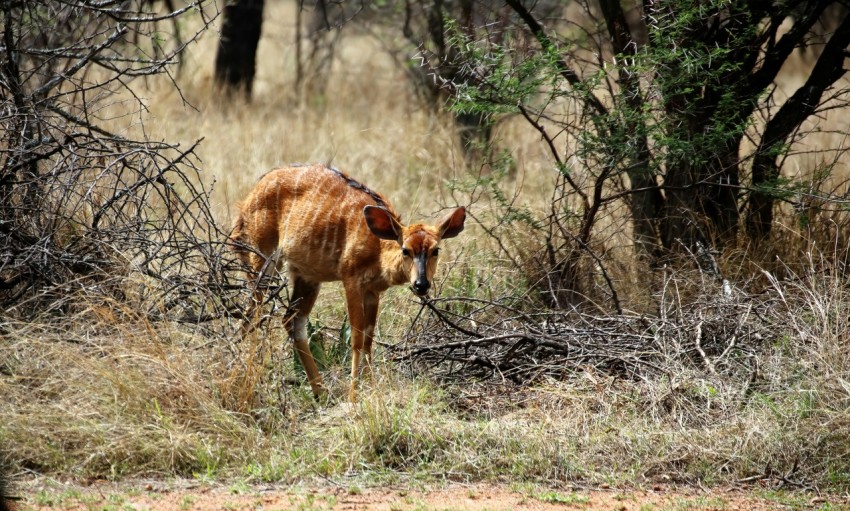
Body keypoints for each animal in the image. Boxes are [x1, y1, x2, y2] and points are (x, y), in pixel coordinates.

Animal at [232, 166, 468, 402]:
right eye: (405, 250)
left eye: (435, 250)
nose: (421, 284)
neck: (377, 247)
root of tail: (247, 201)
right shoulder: (351, 279)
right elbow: (356, 337)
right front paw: (354, 396)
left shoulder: (373, 290)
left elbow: (369, 338)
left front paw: (372, 387)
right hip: (262, 260)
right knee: (250, 315)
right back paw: (240, 375)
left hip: (307, 277)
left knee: (291, 321)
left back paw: (320, 391)